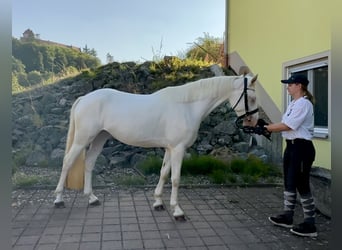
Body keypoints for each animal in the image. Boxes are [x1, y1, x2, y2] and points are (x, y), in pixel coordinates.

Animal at [53, 74, 258, 221]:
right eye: (252, 97)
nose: (253, 123)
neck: (187, 107)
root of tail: (84, 98)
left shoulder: (169, 148)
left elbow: (163, 173)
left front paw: (158, 202)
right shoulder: (178, 148)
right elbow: (175, 179)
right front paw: (177, 211)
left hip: (99, 137)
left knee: (89, 162)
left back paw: (92, 198)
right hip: (83, 138)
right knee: (67, 161)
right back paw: (58, 199)